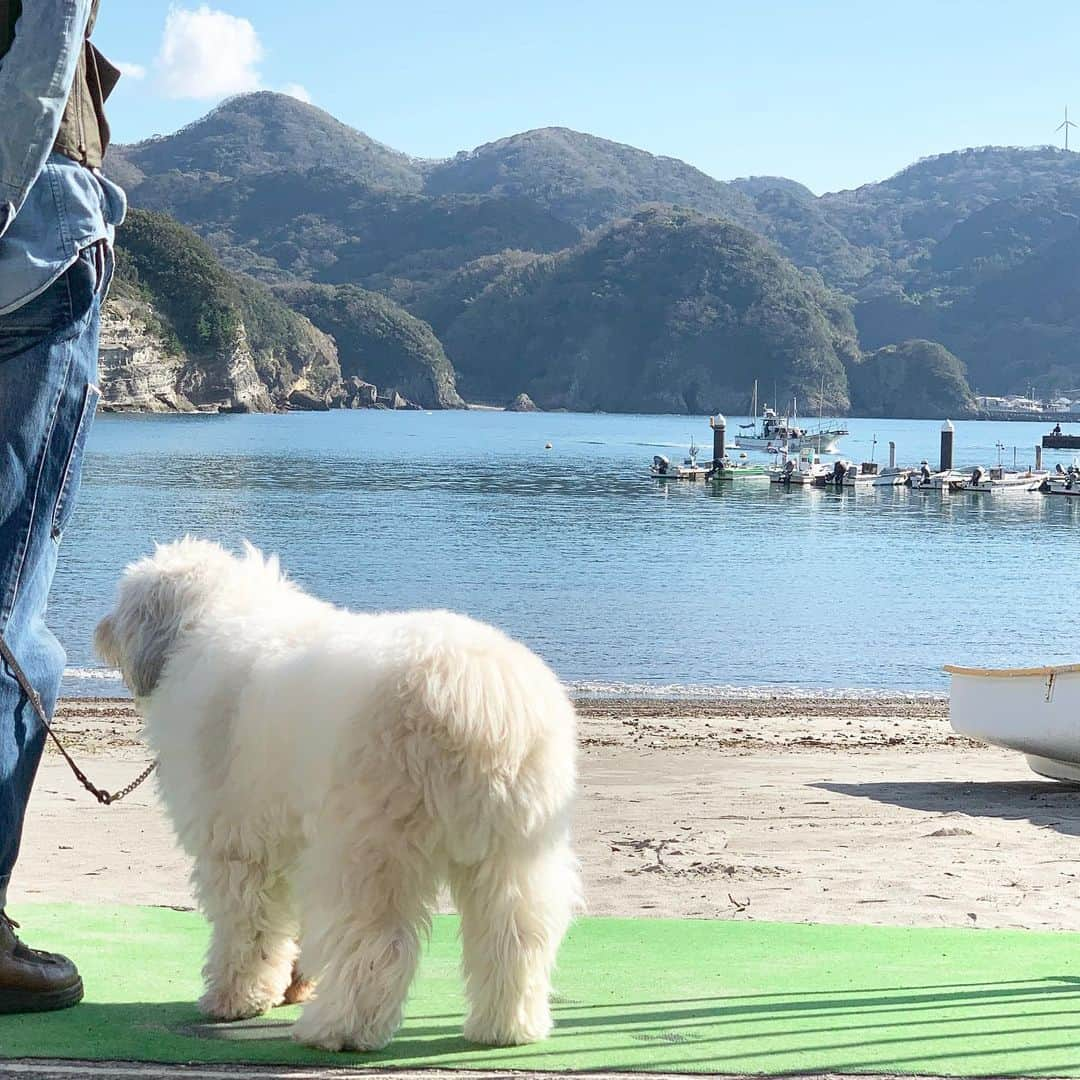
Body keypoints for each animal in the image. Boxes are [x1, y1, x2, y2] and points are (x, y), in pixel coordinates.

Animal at [95, 537, 583, 1045]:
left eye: (126, 602)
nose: (100, 631)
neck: (214, 616)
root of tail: (478, 697)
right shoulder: (291, 839)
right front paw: (293, 984)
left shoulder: (238, 847)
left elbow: (248, 928)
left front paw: (235, 999)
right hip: (515, 852)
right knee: (515, 936)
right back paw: (508, 1028)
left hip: (372, 848)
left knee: (377, 943)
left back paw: (339, 1029)